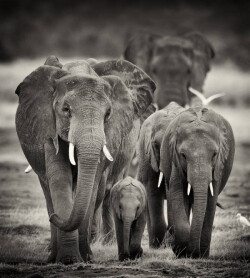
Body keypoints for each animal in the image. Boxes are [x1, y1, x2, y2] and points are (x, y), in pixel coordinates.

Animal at [14, 56, 155, 262]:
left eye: (108, 114)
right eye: (66, 109)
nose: (55, 217)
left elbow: (94, 182)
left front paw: (85, 257)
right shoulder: (48, 125)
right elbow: (59, 178)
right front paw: (67, 260)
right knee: (48, 191)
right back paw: (51, 251)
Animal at [138, 102, 235, 258]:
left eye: (214, 154)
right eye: (183, 155)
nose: (193, 253)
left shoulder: (218, 165)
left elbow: (210, 199)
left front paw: (199, 254)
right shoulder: (158, 157)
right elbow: (165, 192)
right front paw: (178, 249)